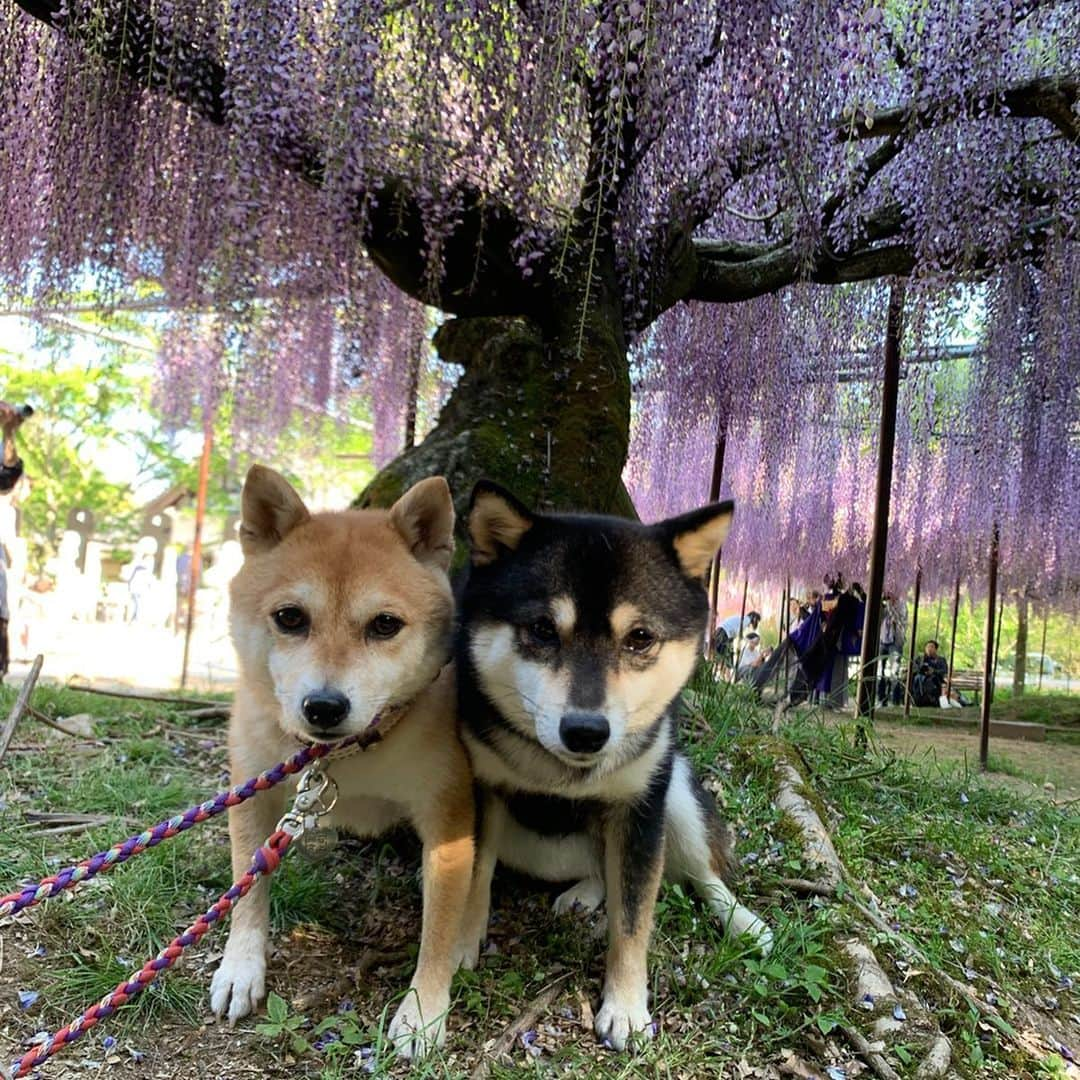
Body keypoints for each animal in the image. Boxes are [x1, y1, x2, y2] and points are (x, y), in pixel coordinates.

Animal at [212, 466, 475, 1054]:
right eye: (290, 617)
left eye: (385, 625)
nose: (325, 706)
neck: (350, 753)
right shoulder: (252, 791)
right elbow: (248, 886)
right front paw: (240, 966)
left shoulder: (448, 817)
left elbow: (440, 930)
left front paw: (423, 1013)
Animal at [453, 486, 768, 1049]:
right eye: (542, 630)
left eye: (640, 637)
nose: (585, 731)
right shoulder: (483, 787)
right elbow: (475, 876)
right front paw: (463, 945)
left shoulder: (641, 809)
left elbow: (634, 917)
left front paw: (625, 1007)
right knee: (600, 865)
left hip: (675, 794)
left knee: (701, 874)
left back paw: (744, 922)